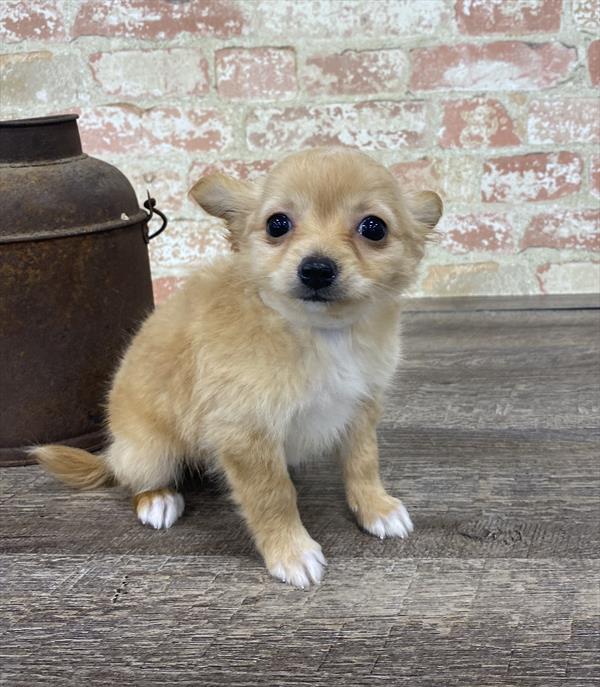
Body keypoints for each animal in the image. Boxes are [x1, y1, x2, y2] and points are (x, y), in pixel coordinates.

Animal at [35, 148, 442, 588]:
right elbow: (273, 496)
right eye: (277, 224)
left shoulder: (360, 408)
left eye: (374, 228)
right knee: (136, 479)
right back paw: (157, 499)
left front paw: (376, 507)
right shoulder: (245, 432)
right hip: (150, 452)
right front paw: (291, 551)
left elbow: (363, 463)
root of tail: (113, 451)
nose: (316, 268)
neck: (320, 333)